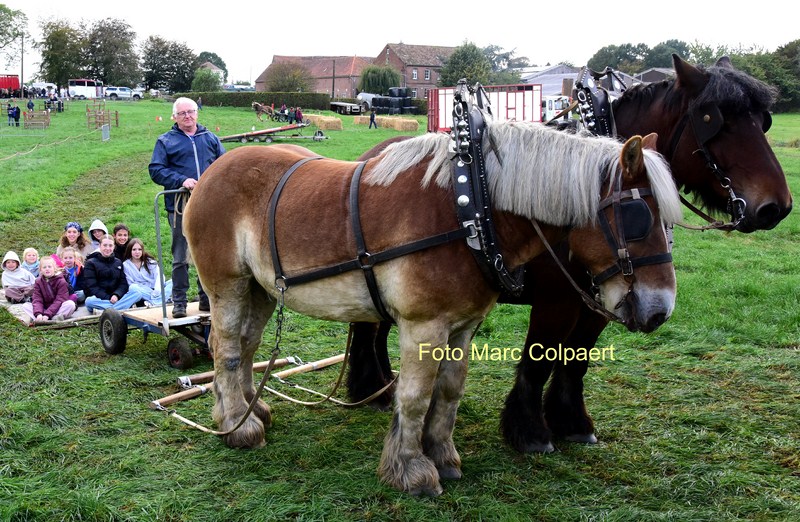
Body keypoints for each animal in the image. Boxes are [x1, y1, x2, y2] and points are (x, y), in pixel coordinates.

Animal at [183, 115, 683, 495]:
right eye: (638, 218)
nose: (659, 309)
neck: (470, 210)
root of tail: (211, 171)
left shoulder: (463, 325)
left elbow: (448, 392)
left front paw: (442, 455)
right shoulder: (423, 325)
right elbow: (415, 394)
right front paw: (410, 468)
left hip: (262, 289)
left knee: (248, 345)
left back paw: (251, 410)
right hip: (226, 285)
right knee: (227, 351)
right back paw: (239, 425)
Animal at [345, 55, 794, 453]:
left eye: (764, 121)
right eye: (715, 121)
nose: (777, 207)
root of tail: (369, 155)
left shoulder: (604, 299)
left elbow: (577, 359)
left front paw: (571, 420)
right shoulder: (557, 299)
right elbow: (540, 359)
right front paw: (530, 431)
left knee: (375, 327)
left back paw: (380, 386)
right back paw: (374, 390)